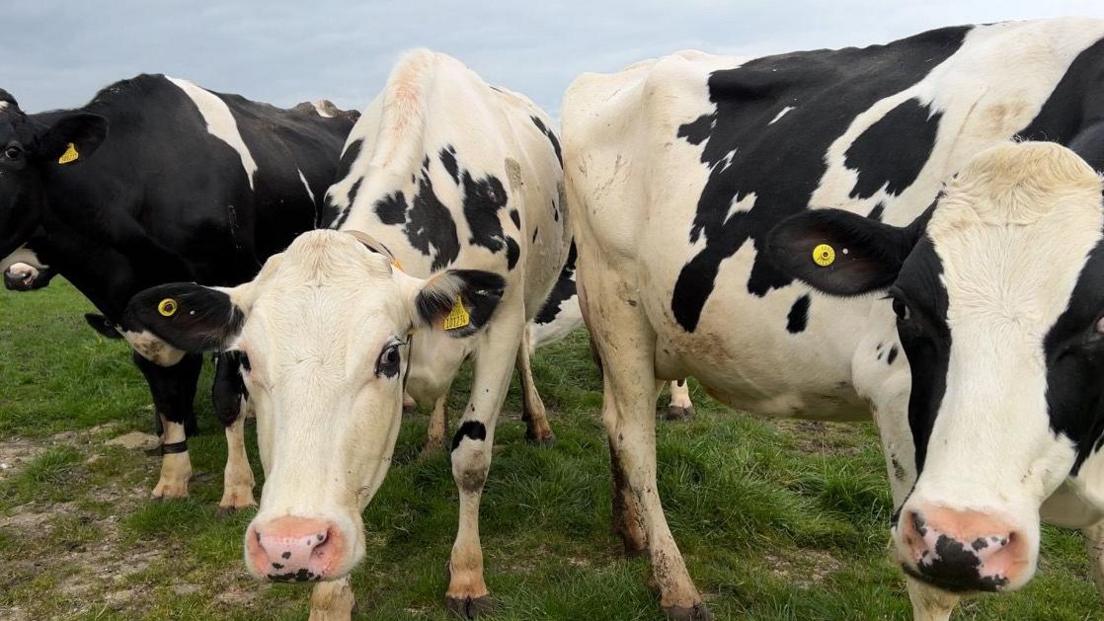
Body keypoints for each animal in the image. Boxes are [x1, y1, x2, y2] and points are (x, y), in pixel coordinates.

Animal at [0, 73, 355, 508]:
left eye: (12, 152)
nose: (17, 276)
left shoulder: (233, 288)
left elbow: (225, 396)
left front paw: (237, 488)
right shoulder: (141, 318)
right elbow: (167, 394)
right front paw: (172, 478)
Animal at [118, 49, 569, 618]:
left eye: (387, 358)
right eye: (246, 361)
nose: (289, 544)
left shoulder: (500, 324)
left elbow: (470, 459)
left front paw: (467, 576)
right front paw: (330, 599)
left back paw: (537, 421)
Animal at [565, 16, 1104, 614]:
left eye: (1101, 320)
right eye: (904, 306)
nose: (975, 536)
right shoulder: (899, 399)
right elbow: (931, 591)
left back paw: (631, 531)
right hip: (617, 303)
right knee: (632, 436)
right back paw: (675, 583)